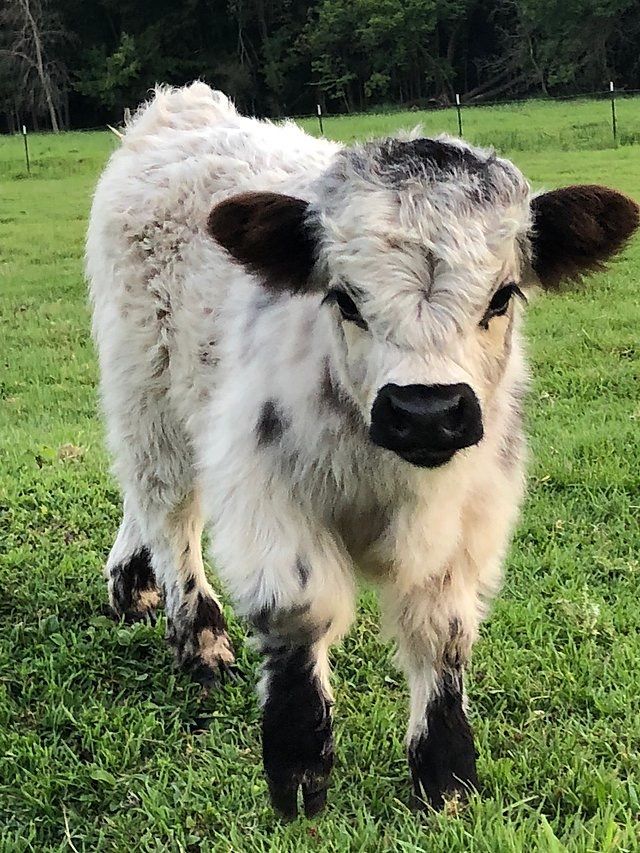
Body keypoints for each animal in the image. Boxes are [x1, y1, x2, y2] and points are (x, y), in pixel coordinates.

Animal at [86, 82, 639, 818]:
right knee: (167, 502)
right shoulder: (265, 482)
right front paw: (298, 768)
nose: (427, 412)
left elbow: (443, 629)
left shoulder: (473, 509)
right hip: (144, 384)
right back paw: (196, 634)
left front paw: (446, 774)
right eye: (344, 298)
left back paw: (134, 584)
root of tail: (179, 108)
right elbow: (300, 607)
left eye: (502, 295)